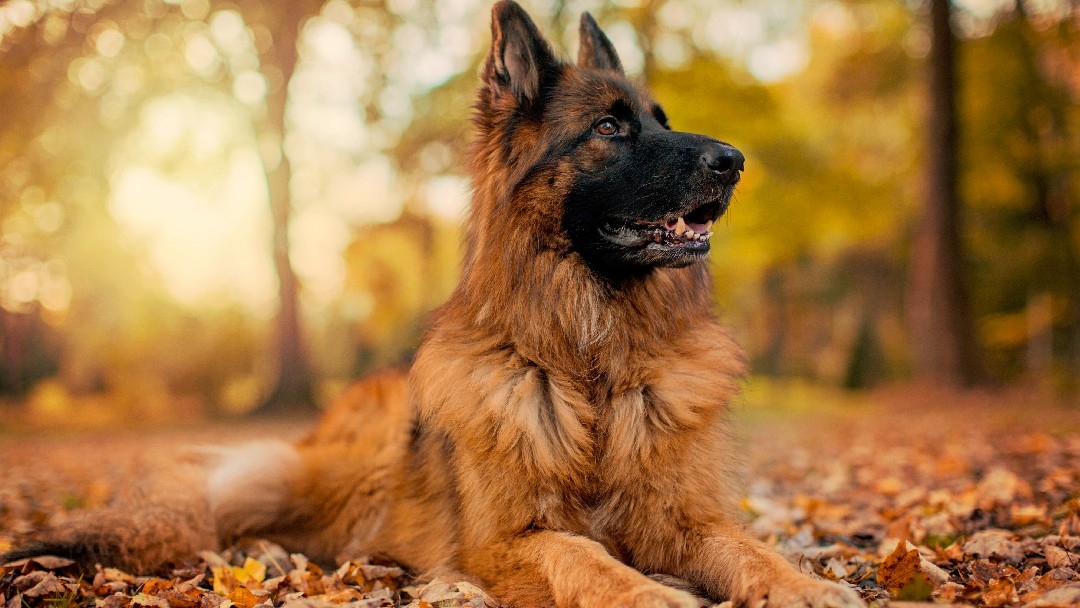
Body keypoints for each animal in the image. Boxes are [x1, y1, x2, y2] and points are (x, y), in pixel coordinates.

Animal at [2, 2, 859, 604]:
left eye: (660, 121)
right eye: (611, 127)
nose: (735, 161)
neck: (588, 363)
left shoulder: (685, 519)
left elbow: (751, 550)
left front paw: (808, 587)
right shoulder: (508, 540)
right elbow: (585, 558)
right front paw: (651, 597)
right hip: (326, 477)